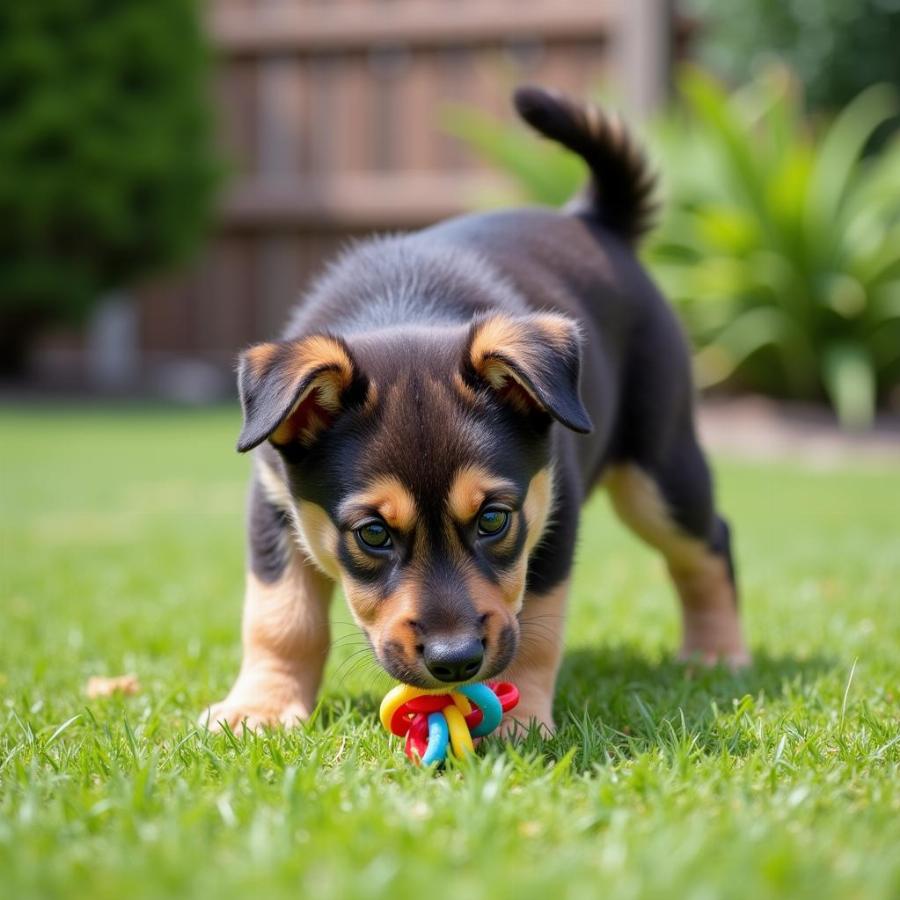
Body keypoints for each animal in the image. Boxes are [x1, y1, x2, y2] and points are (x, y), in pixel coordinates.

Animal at [200, 84, 748, 736]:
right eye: (373, 534)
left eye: (492, 520)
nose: (455, 661)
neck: (404, 307)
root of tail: (591, 220)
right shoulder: (273, 505)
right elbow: (280, 616)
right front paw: (258, 707)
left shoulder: (550, 512)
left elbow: (535, 627)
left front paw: (519, 718)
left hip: (658, 471)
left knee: (709, 540)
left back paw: (717, 653)